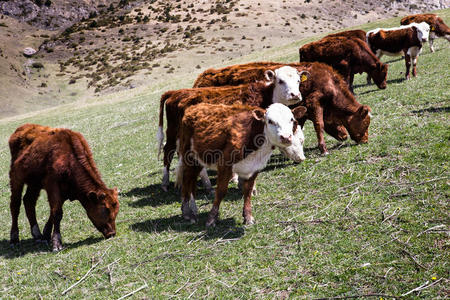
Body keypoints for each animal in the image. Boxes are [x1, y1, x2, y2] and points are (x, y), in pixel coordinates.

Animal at [9, 123, 119, 252]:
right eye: (105, 209)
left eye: (116, 210)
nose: (112, 233)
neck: (69, 158)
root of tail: (21, 129)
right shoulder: (53, 187)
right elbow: (57, 213)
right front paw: (57, 243)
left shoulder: (64, 192)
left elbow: (53, 213)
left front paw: (46, 235)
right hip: (16, 179)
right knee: (15, 205)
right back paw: (14, 238)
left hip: (34, 184)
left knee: (29, 202)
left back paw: (37, 235)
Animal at [156, 66, 304, 191]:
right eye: (280, 81)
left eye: (298, 81)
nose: (295, 95)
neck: (263, 96)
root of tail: (174, 93)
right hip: (173, 132)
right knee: (168, 151)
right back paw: (165, 183)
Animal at [174, 102, 308, 226]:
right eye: (270, 121)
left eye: (291, 119)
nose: (286, 137)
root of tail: (194, 107)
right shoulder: (225, 166)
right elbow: (221, 191)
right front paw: (211, 219)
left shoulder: (255, 168)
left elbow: (248, 192)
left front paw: (248, 217)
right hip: (188, 158)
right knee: (186, 181)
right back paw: (187, 213)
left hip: (198, 161)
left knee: (191, 182)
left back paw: (192, 210)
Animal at [194, 61, 372, 155]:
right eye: (365, 123)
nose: (365, 140)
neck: (328, 82)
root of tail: (203, 77)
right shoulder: (314, 103)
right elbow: (319, 125)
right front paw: (323, 149)